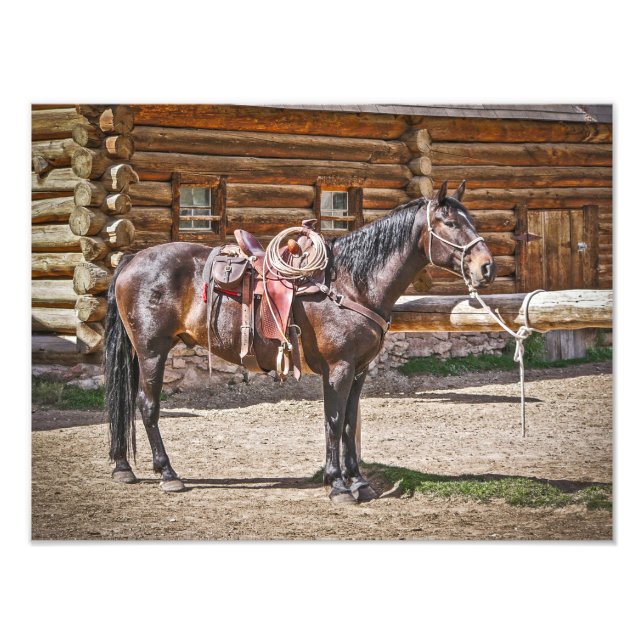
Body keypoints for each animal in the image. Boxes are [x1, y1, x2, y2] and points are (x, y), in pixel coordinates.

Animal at [104, 180, 496, 503]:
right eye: (449, 223)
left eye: (471, 220)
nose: (486, 267)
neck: (351, 284)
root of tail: (131, 259)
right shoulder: (338, 368)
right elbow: (334, 421)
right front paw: (337, 485)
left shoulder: (359, 370)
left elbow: (349, 422)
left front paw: (358, 482)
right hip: (152, 351)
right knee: (148, 406)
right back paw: (167, 473)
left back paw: (123, 467)